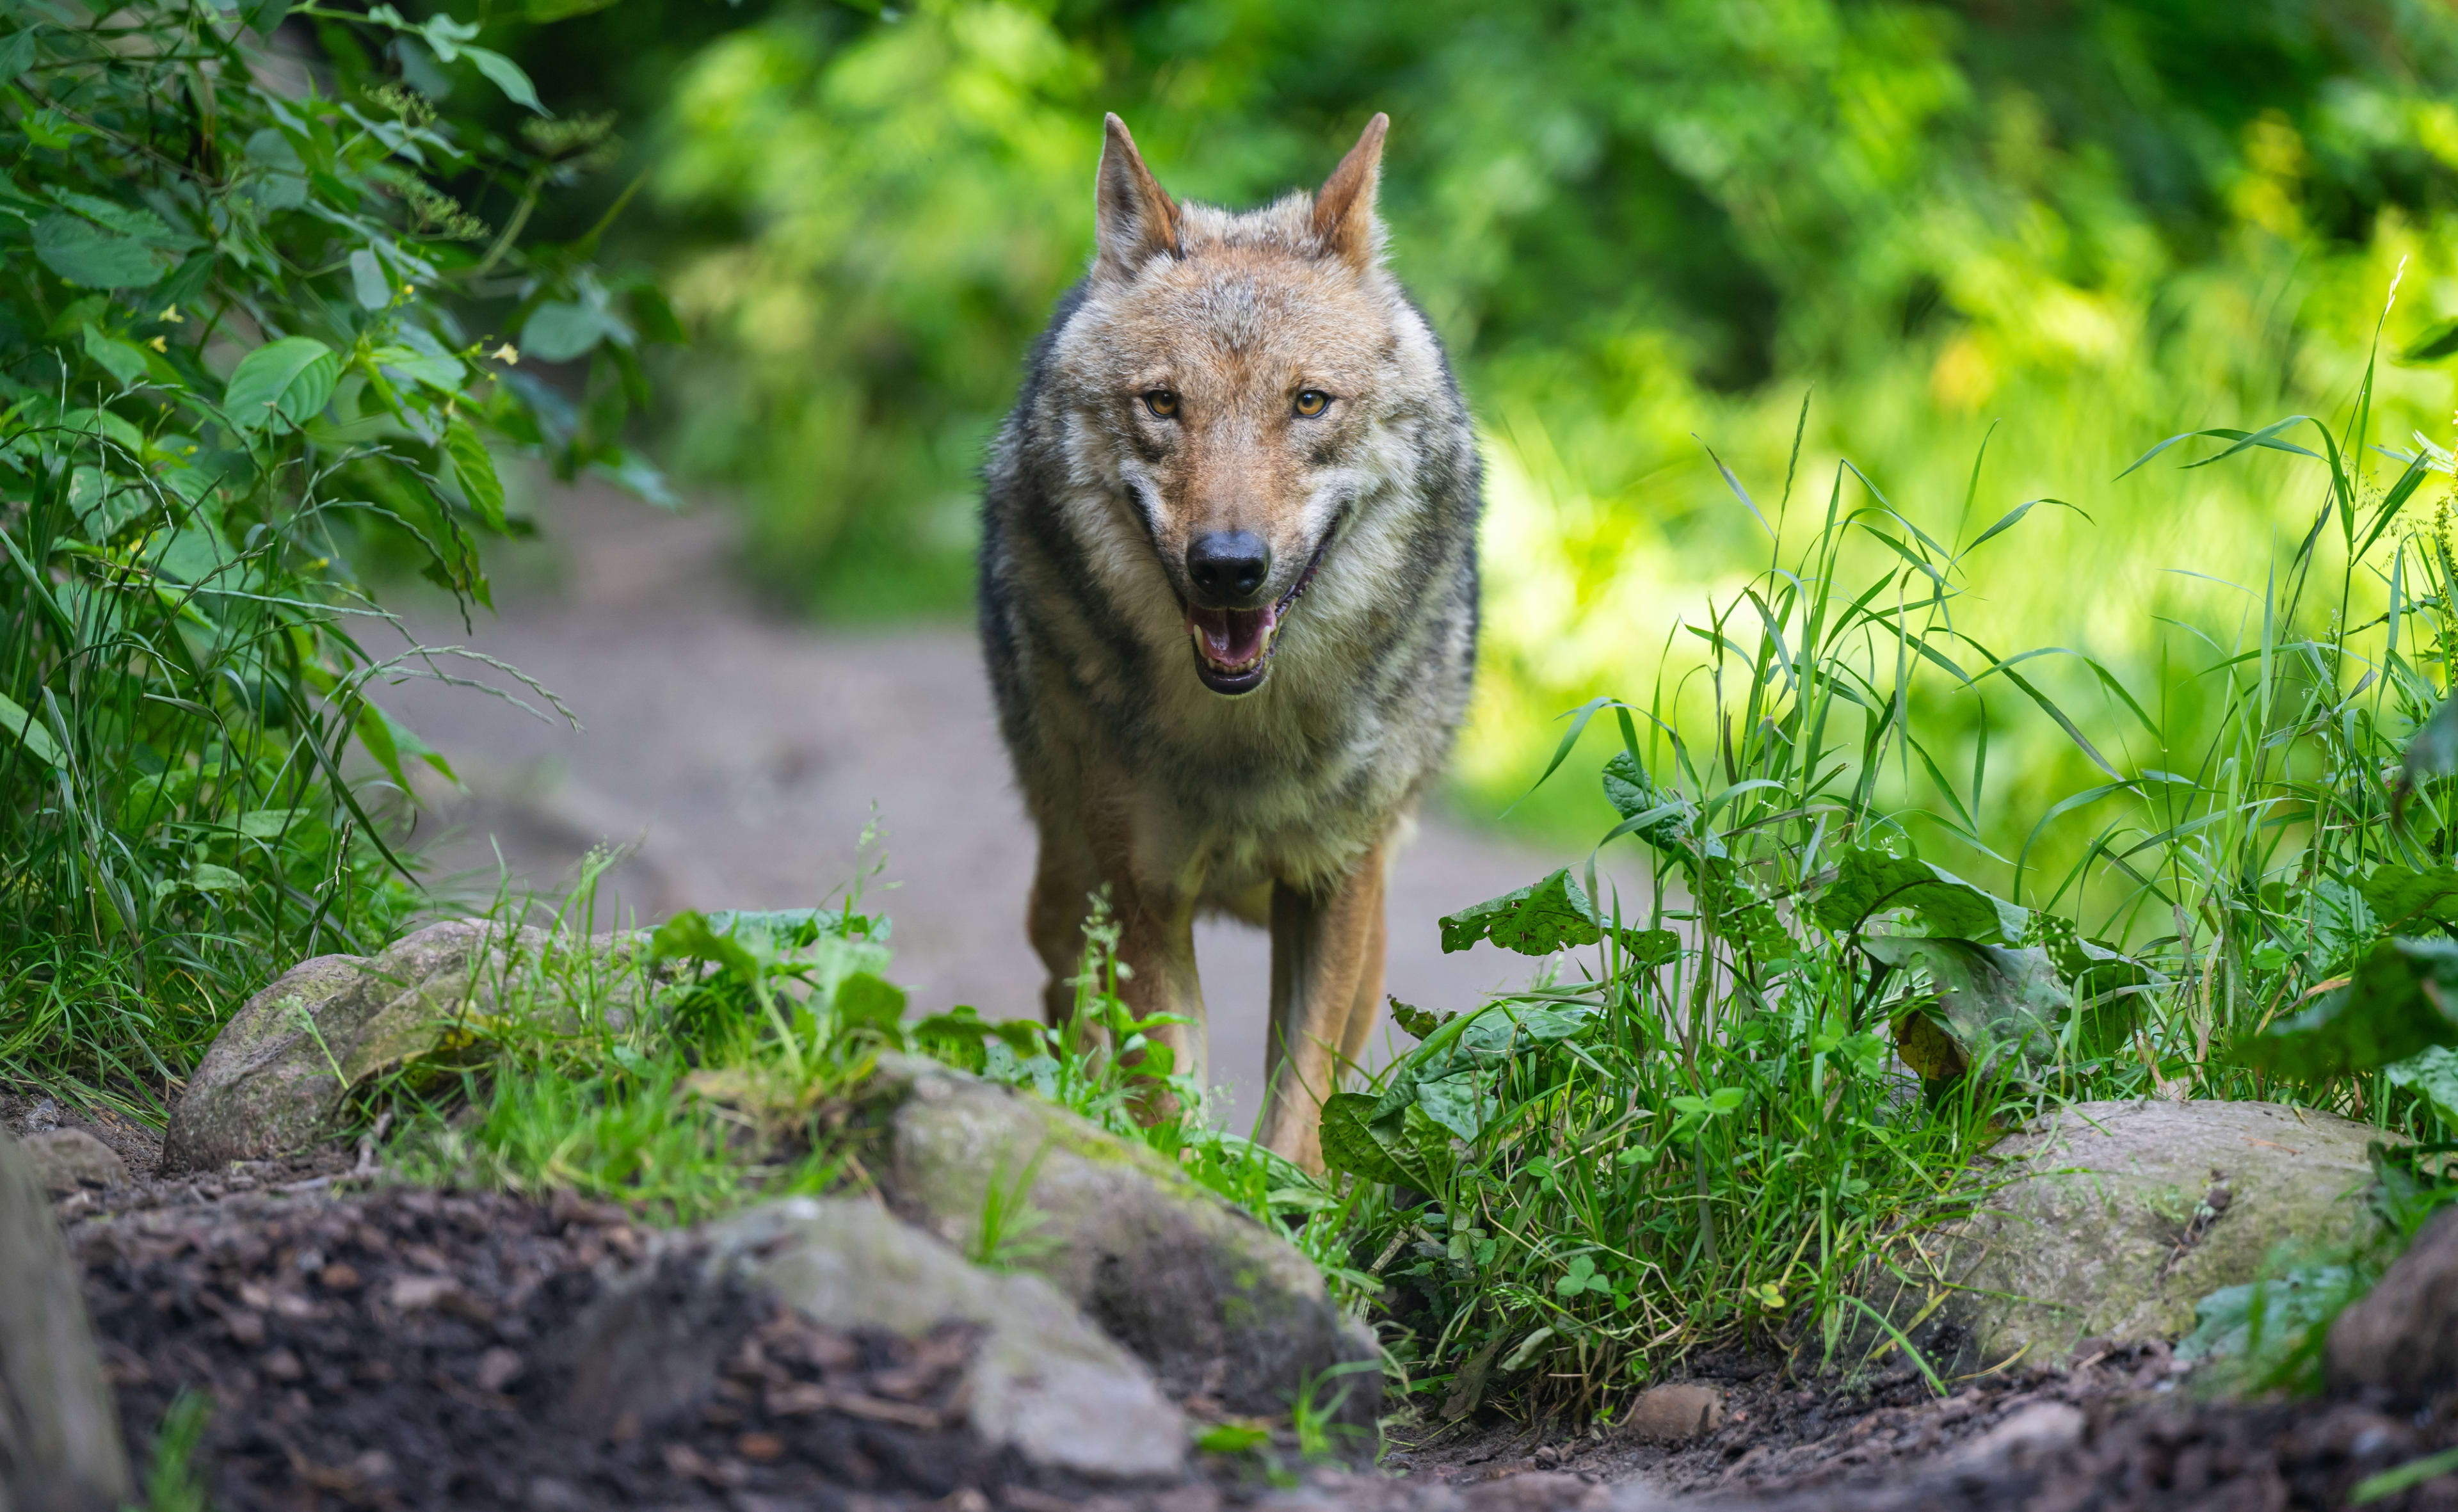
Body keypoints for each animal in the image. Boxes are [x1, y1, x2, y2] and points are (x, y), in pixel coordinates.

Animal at [973, 112, 1475, 1170]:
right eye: (1164, 403)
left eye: (1309, 402)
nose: (1230, 567)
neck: (1247, 741)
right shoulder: (1141, 887)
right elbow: (1169, 1095)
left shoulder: (1336, 883)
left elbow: (1303, 1109)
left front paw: (1284, 1198)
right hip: (1069, 887)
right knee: (1070, 1014)